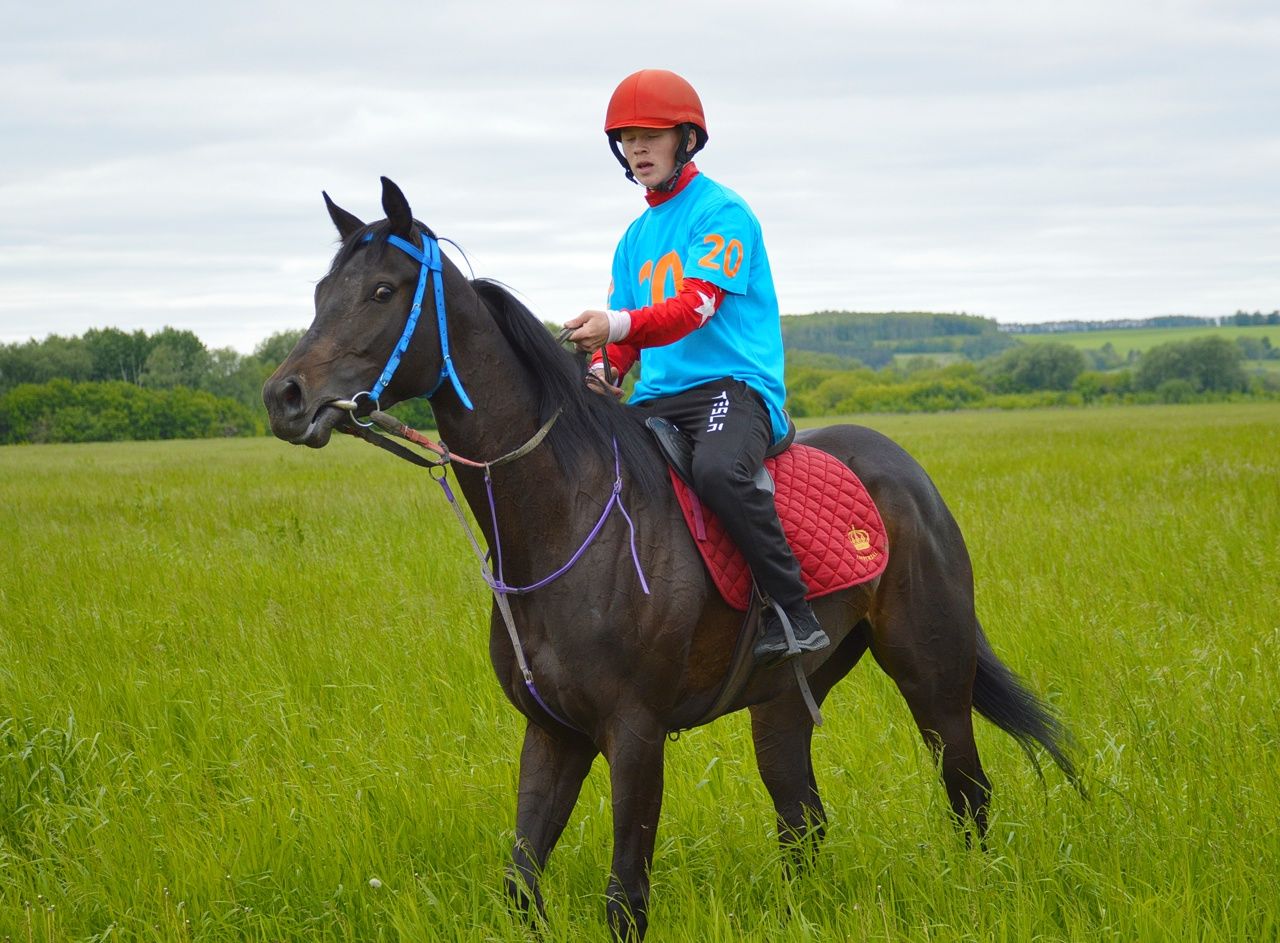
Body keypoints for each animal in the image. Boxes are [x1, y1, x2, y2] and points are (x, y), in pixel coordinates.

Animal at [264, 177, 1075, 941]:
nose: (284, 396)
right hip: (783, 700)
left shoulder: (635, 732)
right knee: (803, 820)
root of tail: (907, 470)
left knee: (969, 793)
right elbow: (522, 885)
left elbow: (625, 898)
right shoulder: (553, 731)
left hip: (931, 671)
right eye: (321, 292)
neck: (567, 517)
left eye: (382, 290)